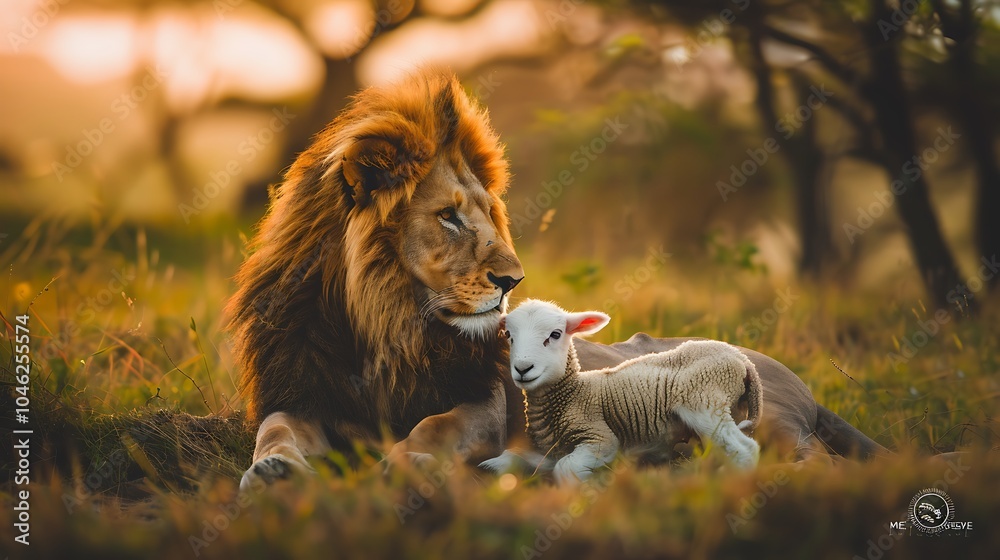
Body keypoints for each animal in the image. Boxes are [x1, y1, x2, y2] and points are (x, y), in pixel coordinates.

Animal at [480, 299, 763, 484]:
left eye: (556, 334)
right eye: (508, 335)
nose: (522, 368)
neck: (572, 393)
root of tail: (744, 361)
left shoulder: (600, 437)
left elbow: (565, 469)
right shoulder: (553, 449)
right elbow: (511, 457)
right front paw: (491, 465)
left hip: (705, 402)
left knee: (746, 449)